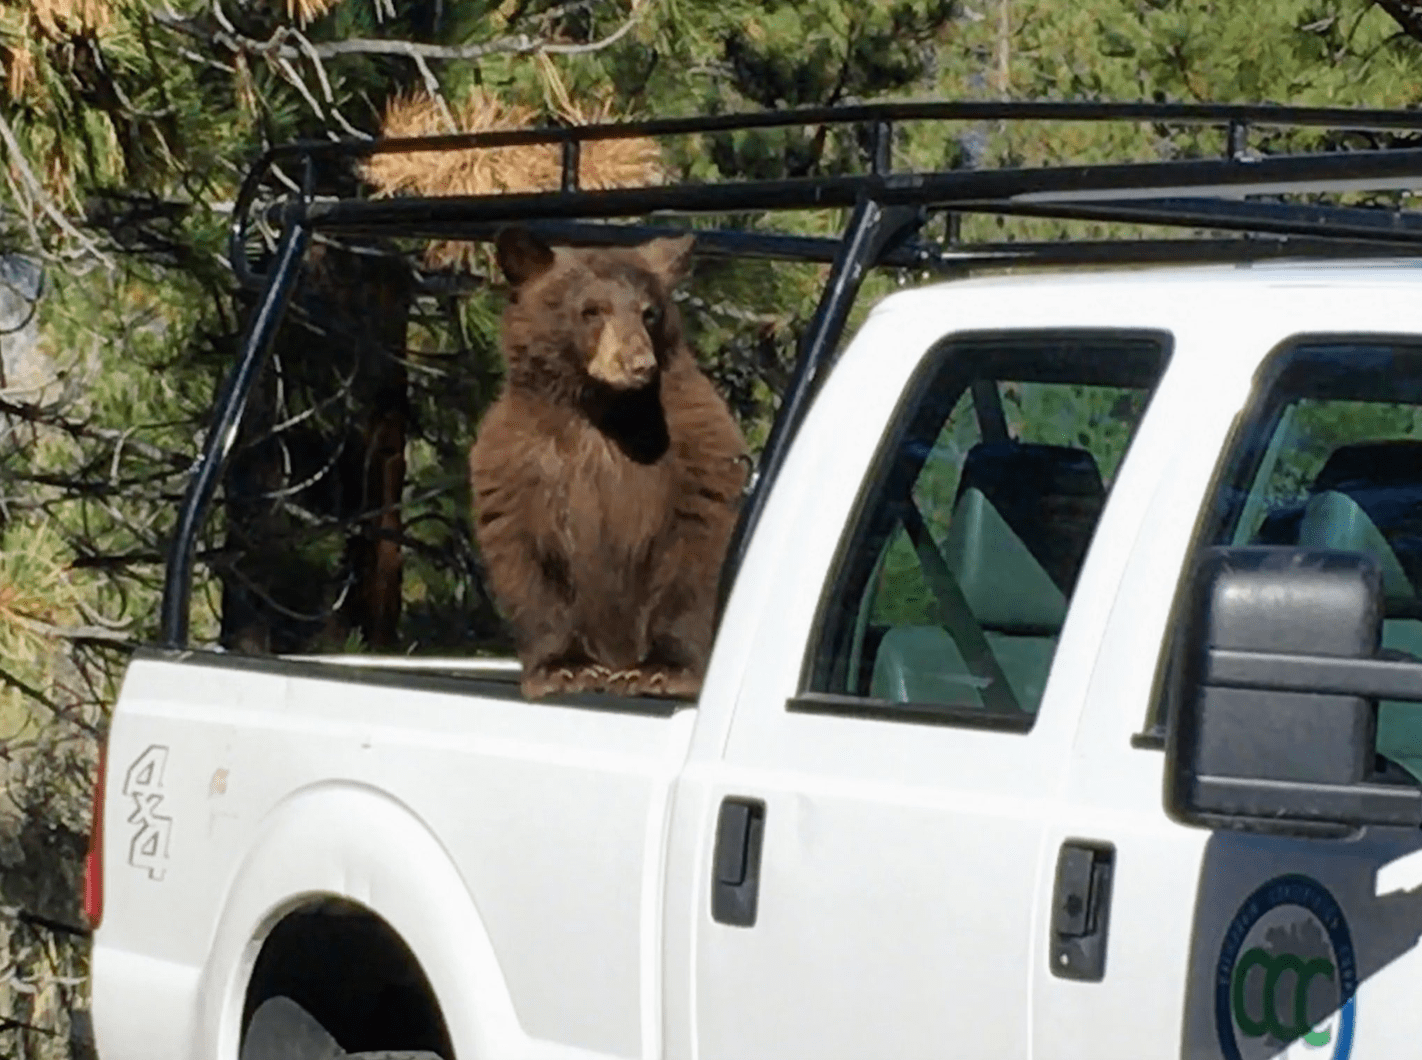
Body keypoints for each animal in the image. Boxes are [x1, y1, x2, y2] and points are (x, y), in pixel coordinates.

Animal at [469, 227, 756, 700]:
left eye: (649, 312)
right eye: (592, 310)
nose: (639, 363)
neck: (603, 412)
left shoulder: (694, 450)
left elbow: (694, 555)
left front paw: (664, 670)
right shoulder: (515, 464)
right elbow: (527, 561)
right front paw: (563, 668)